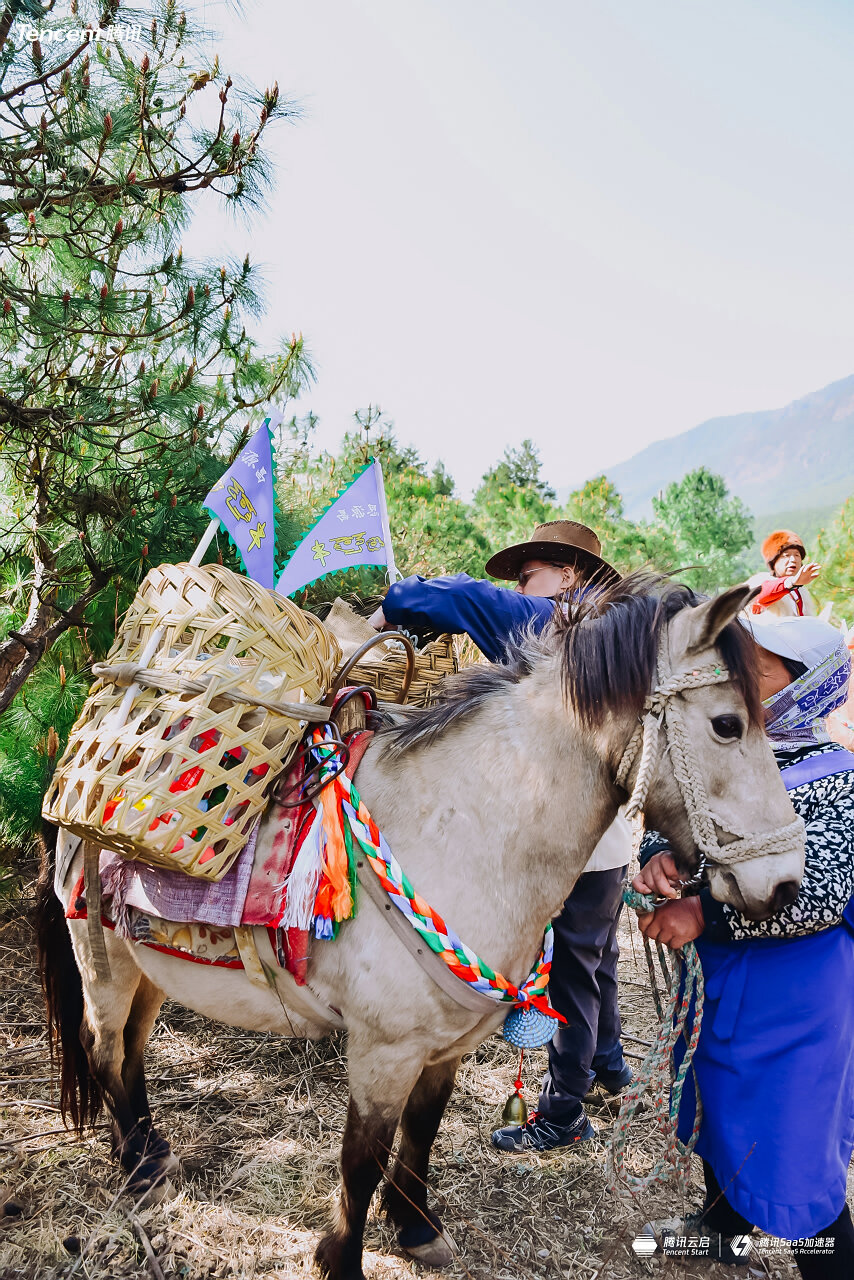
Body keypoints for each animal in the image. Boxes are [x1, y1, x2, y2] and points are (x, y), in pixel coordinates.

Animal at [35, 581, 809, 1280]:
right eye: (728, 724)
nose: (784, 884)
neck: (464, 833)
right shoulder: (385, 1050)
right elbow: (362, 1157)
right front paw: (342, 1260)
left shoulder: (446, 1049)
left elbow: (422, 1135)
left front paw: (414, 1228)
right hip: (103, 962)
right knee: (103, 1049)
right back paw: (138, 1173)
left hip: (151, 967)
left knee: (132, 1054)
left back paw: (148, 1151)